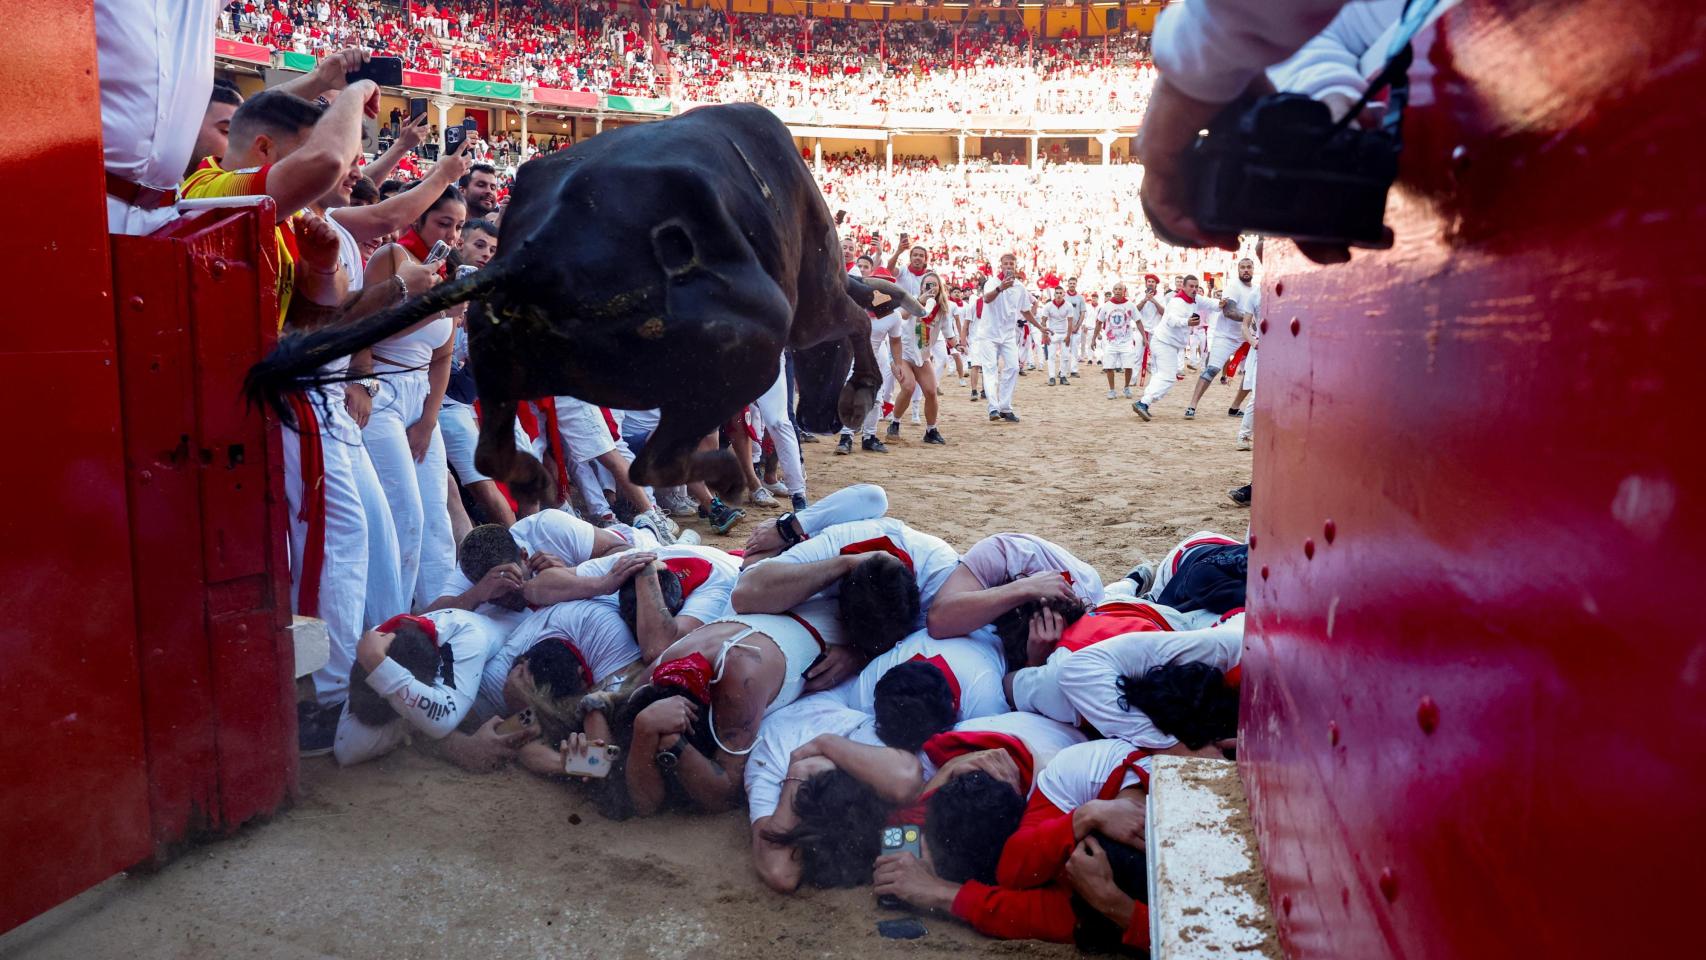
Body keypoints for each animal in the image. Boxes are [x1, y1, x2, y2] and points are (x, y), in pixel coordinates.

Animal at [247, 105, 921, 487]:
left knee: (495, 455)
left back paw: (533, 475)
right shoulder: (815, 299)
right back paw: (731, 472)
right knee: (654, 462)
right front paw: (861, 395)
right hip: (748, 345)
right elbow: (856, 319)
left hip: (500, 355)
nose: (819, 420)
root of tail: (537, 254)